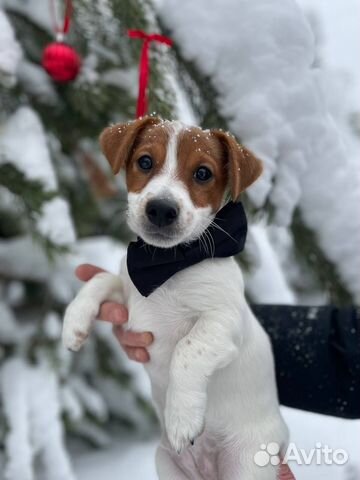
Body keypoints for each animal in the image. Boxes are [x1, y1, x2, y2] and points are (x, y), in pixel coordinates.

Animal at [61, 117, 286, 480]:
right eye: (145, 162)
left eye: (203, 173)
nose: (161, 209)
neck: (168, 264)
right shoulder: (130, 292)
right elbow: (100, 279)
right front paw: (74, 325)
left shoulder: (224, 320)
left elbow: (186, 350)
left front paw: (181, 418)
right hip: (165, 465)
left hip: (247, 465)